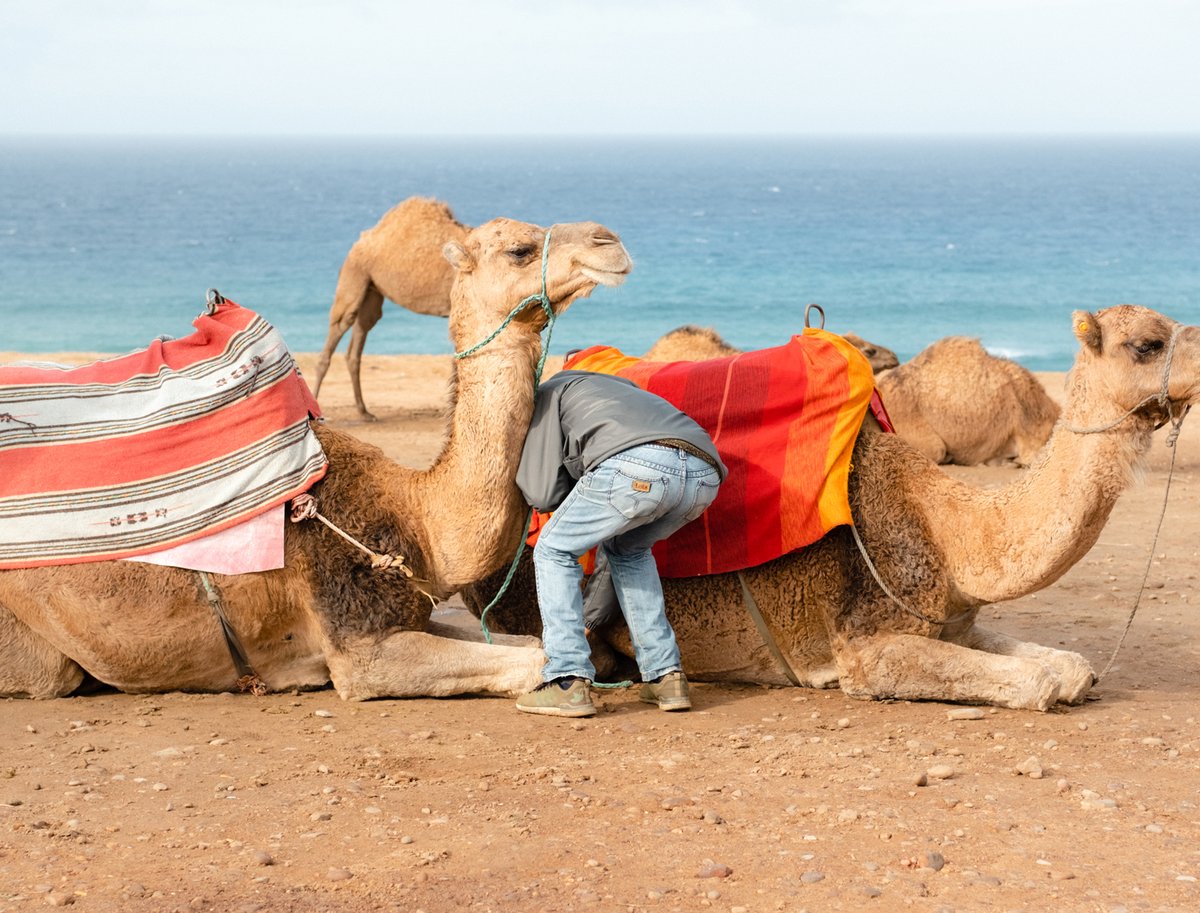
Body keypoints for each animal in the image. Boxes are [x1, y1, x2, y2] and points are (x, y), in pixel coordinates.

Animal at [312, 197, 470, 421]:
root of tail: (360, 242)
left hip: (371, 290)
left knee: (358, 340)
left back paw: (364, 412)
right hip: (354, 272)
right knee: (339, 327)